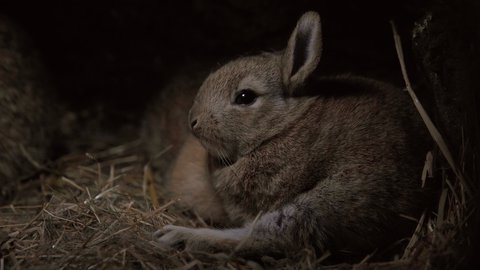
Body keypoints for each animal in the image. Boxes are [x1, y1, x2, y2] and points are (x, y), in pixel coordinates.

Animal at [155, 11, 432, 258]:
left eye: (245, 97)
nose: (193, 122)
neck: (282, 127)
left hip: (330, 201)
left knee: (273, 236)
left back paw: (178, 236)